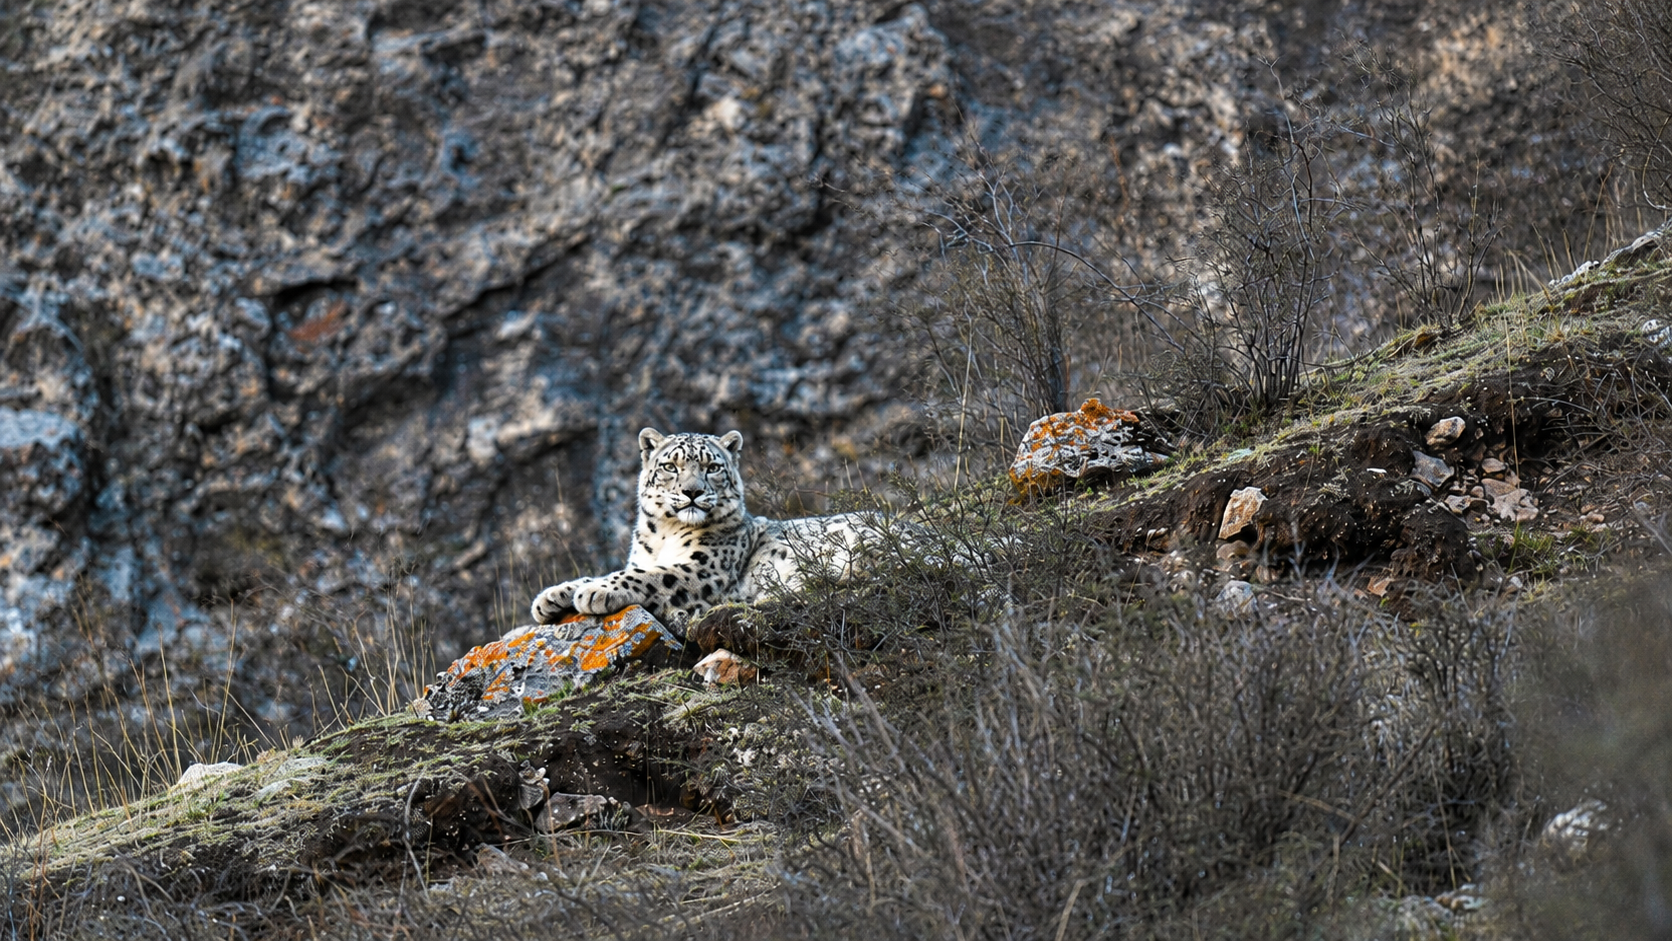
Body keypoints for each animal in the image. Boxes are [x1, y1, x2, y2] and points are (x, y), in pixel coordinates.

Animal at [530, 428, 888, 629]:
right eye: (670, 466)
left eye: (712, 467)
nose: (692, 492)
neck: (663, 534)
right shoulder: (639, 559)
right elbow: (618, 570)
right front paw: (552, 596)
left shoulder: (704, 568)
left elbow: (648, 576)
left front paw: (595, 592)